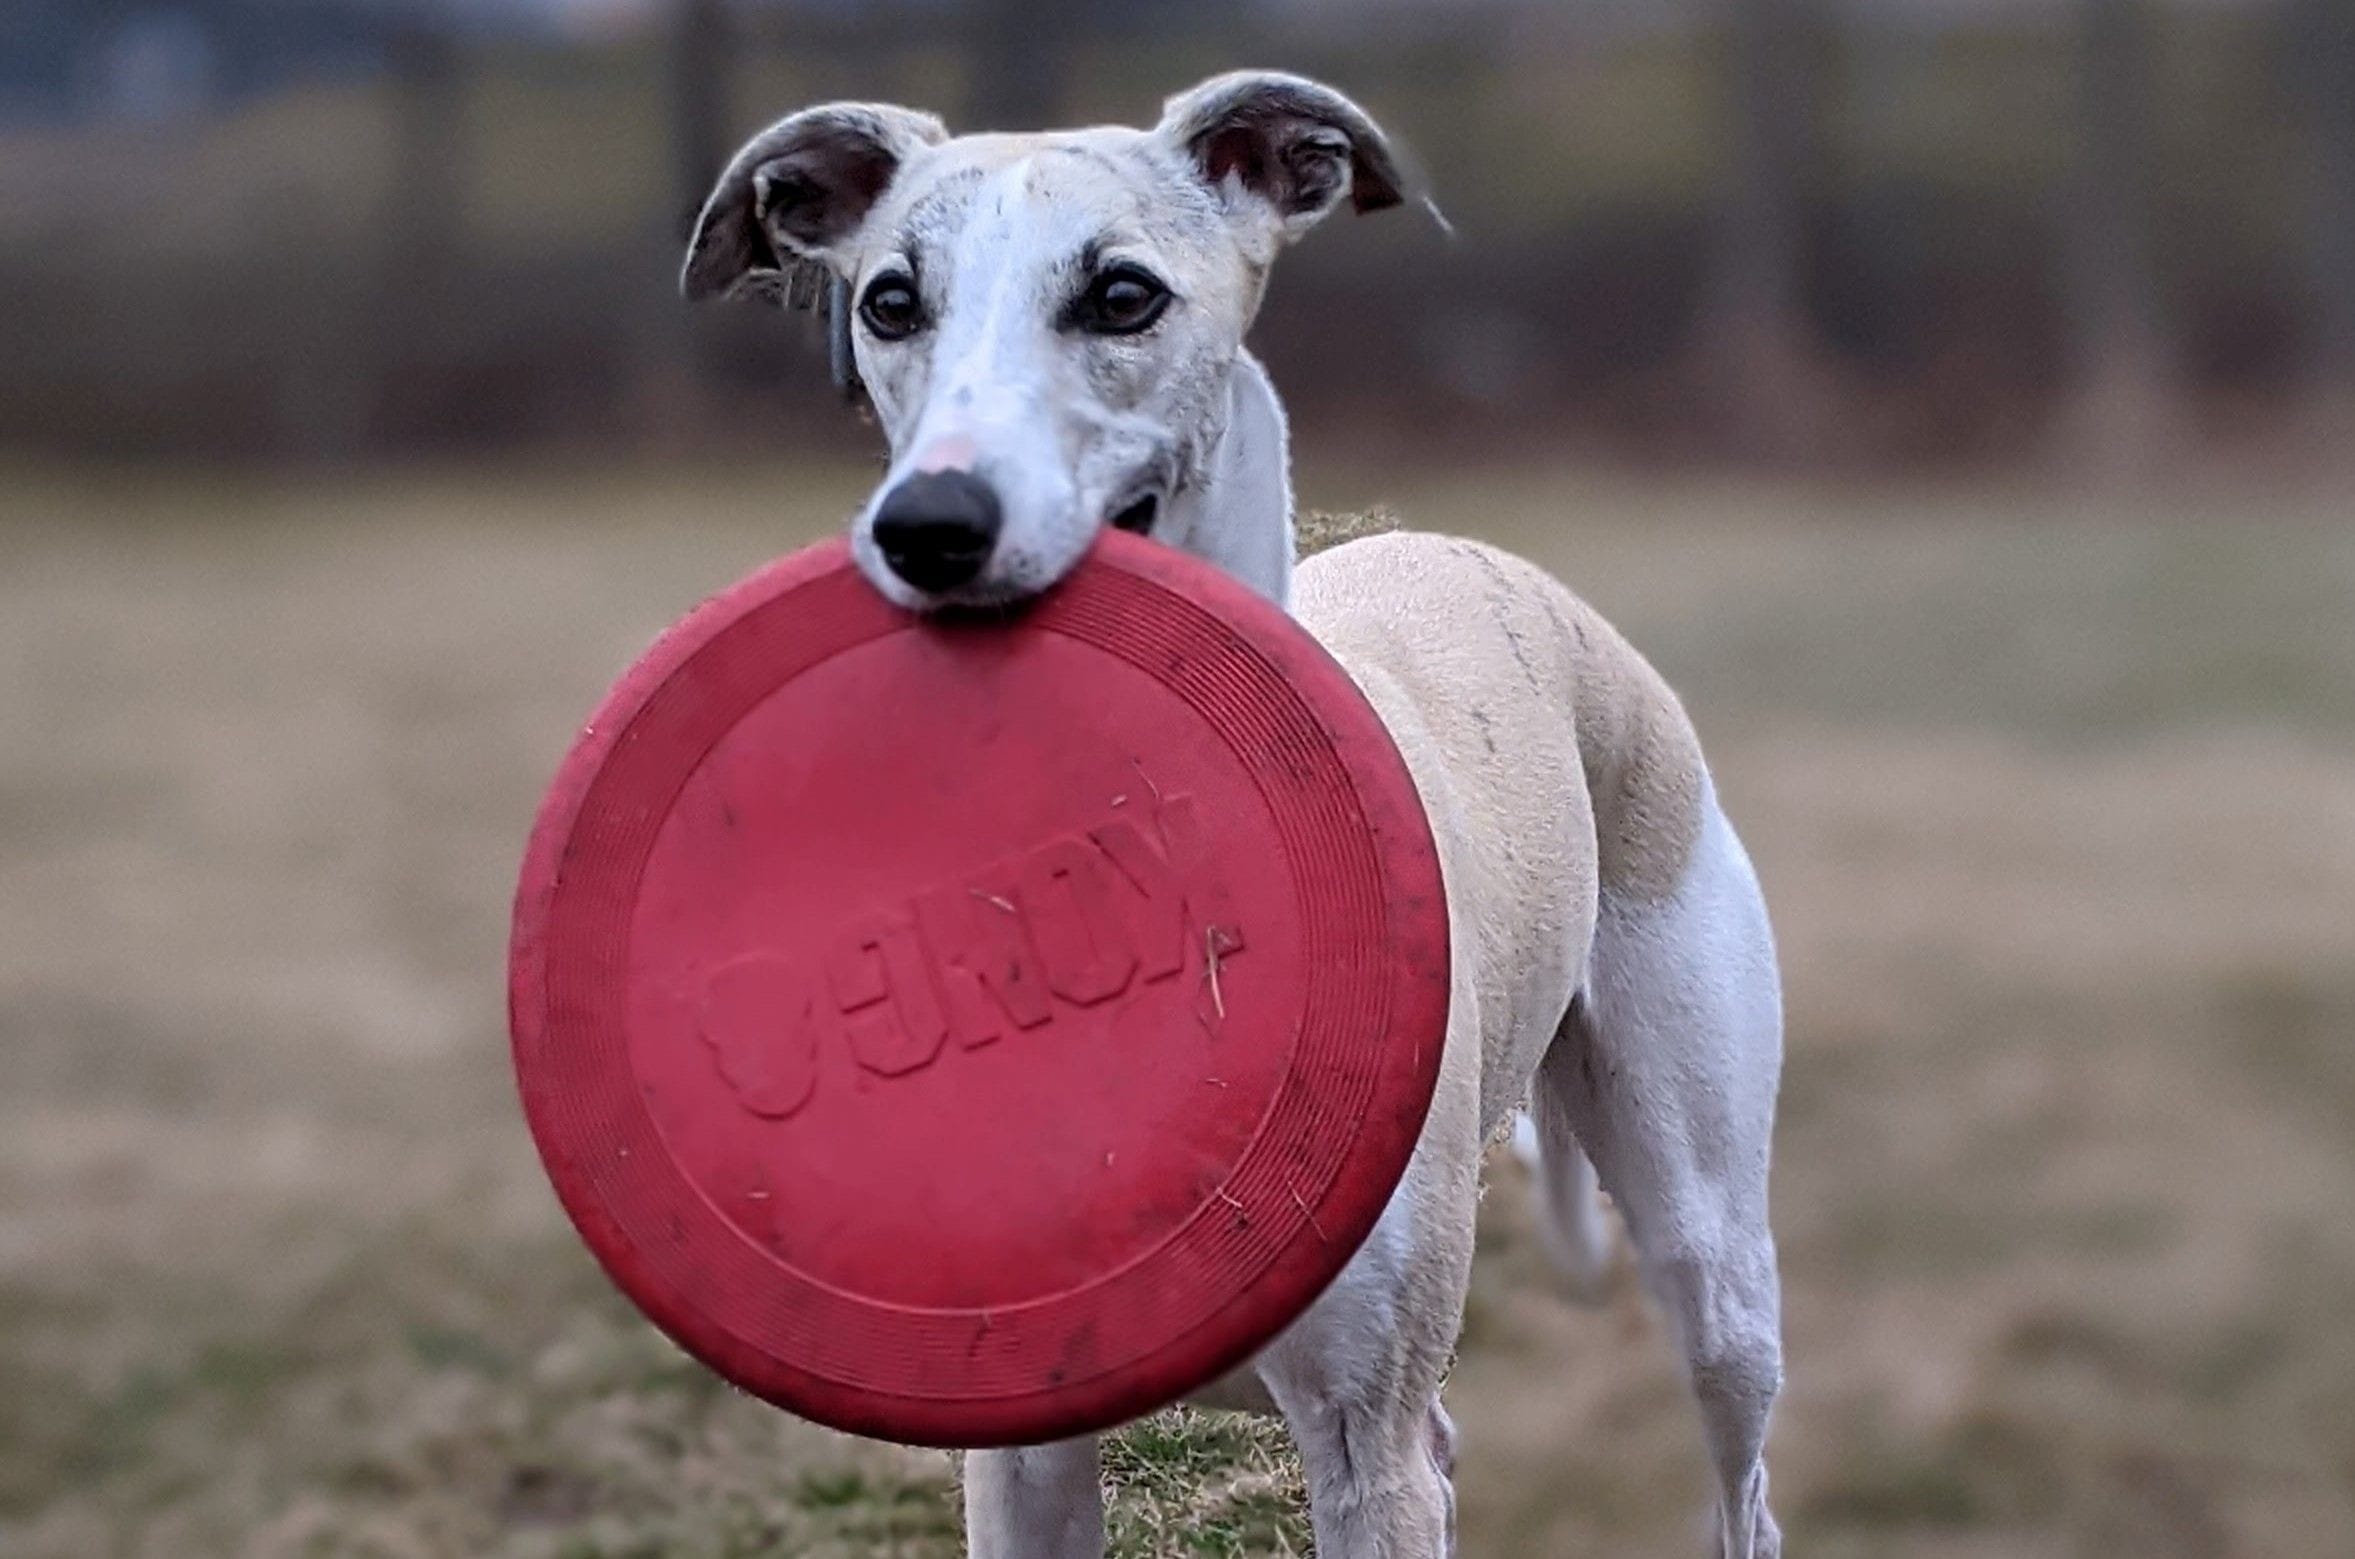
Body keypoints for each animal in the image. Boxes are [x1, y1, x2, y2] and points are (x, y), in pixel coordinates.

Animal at [682, 70, 1780, 1559]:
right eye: (890, 300)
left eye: (1123, 294)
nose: (927, 528)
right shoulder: (1018, 1445)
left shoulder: (1365, 1438)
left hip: (1710, 1246)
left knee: (1738, 1468)